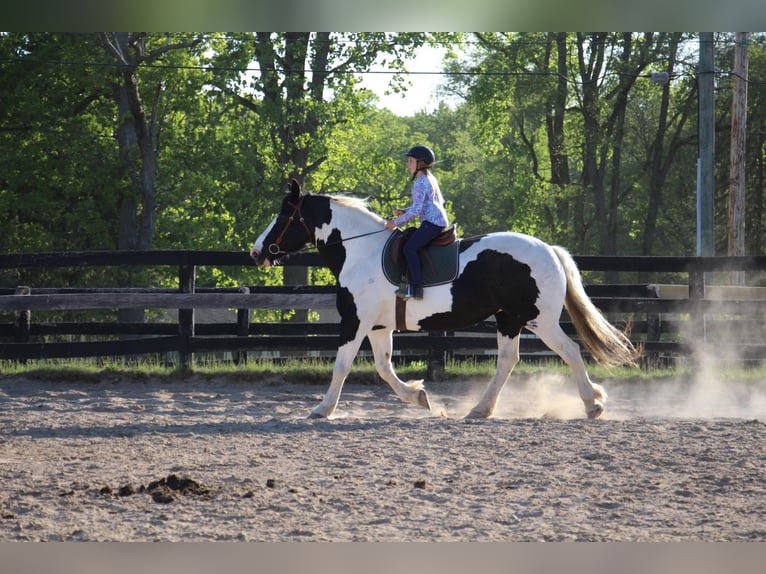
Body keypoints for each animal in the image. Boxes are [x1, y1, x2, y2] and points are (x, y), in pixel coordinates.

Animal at [252, 181, 640, 424]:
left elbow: (342, 366)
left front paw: (323, 409)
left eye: (283, 215)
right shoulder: (378, 327)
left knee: (570, 351)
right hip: (509, 319)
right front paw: (419, 398)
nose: (257, 251)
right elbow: (384, 367)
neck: (360, 251)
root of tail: (549, 249)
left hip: (538, 320)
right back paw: (480, 410)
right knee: (507, 362)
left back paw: (592, 404)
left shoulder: (355, 323)